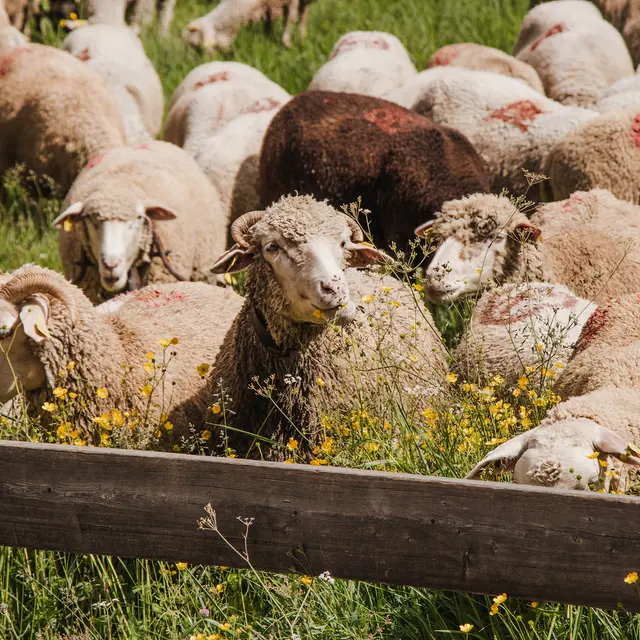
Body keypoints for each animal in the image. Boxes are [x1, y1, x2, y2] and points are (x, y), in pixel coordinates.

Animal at [183, 0, 313, 52]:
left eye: (196, 45)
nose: (206, 62)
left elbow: (290, 20)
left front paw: (287, 45)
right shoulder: (267, 7)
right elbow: (268, 26)